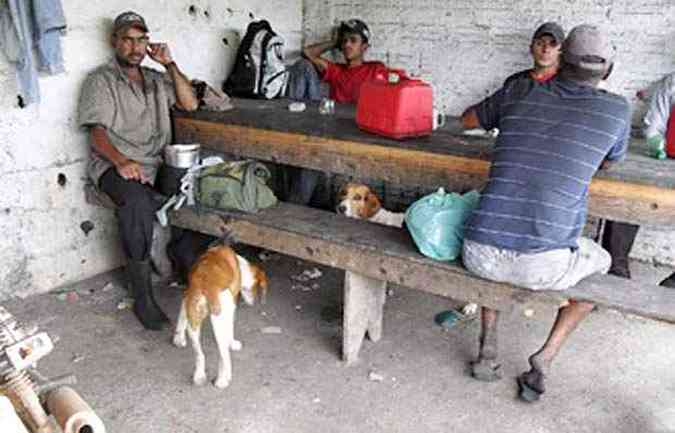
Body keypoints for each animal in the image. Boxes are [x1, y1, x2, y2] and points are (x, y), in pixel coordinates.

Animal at [173, 243, 268, 388]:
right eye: (256, 289)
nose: (252, 303)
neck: (239, 263)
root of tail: (207, 286)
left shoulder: (186, 296)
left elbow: (181, 315)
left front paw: (178, 339)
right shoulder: (232, 306)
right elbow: (231, 331)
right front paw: (233, 343)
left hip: (194, 324)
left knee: (200, 355)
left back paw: (199, 376)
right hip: (221, 319)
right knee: (224, 355)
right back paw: (223, 379)